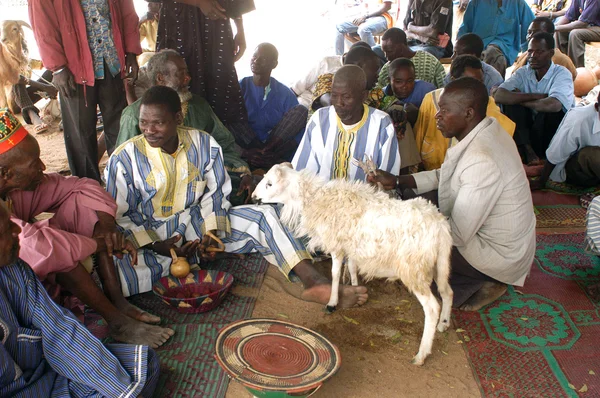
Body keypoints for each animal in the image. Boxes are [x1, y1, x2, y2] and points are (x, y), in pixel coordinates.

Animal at [253, 163, 454, 366]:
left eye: (270, 184)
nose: (253, 197)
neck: (315, 198)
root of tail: (441, 226)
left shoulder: (336, 245)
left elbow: (335, 273)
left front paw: (332, 303)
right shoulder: (351, 247)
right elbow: (351, 267)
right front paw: (356, 290)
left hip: (414, 268)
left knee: (432, 308)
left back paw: (421, 354)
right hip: (439, 264)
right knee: (447, 292)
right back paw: (443, 324)